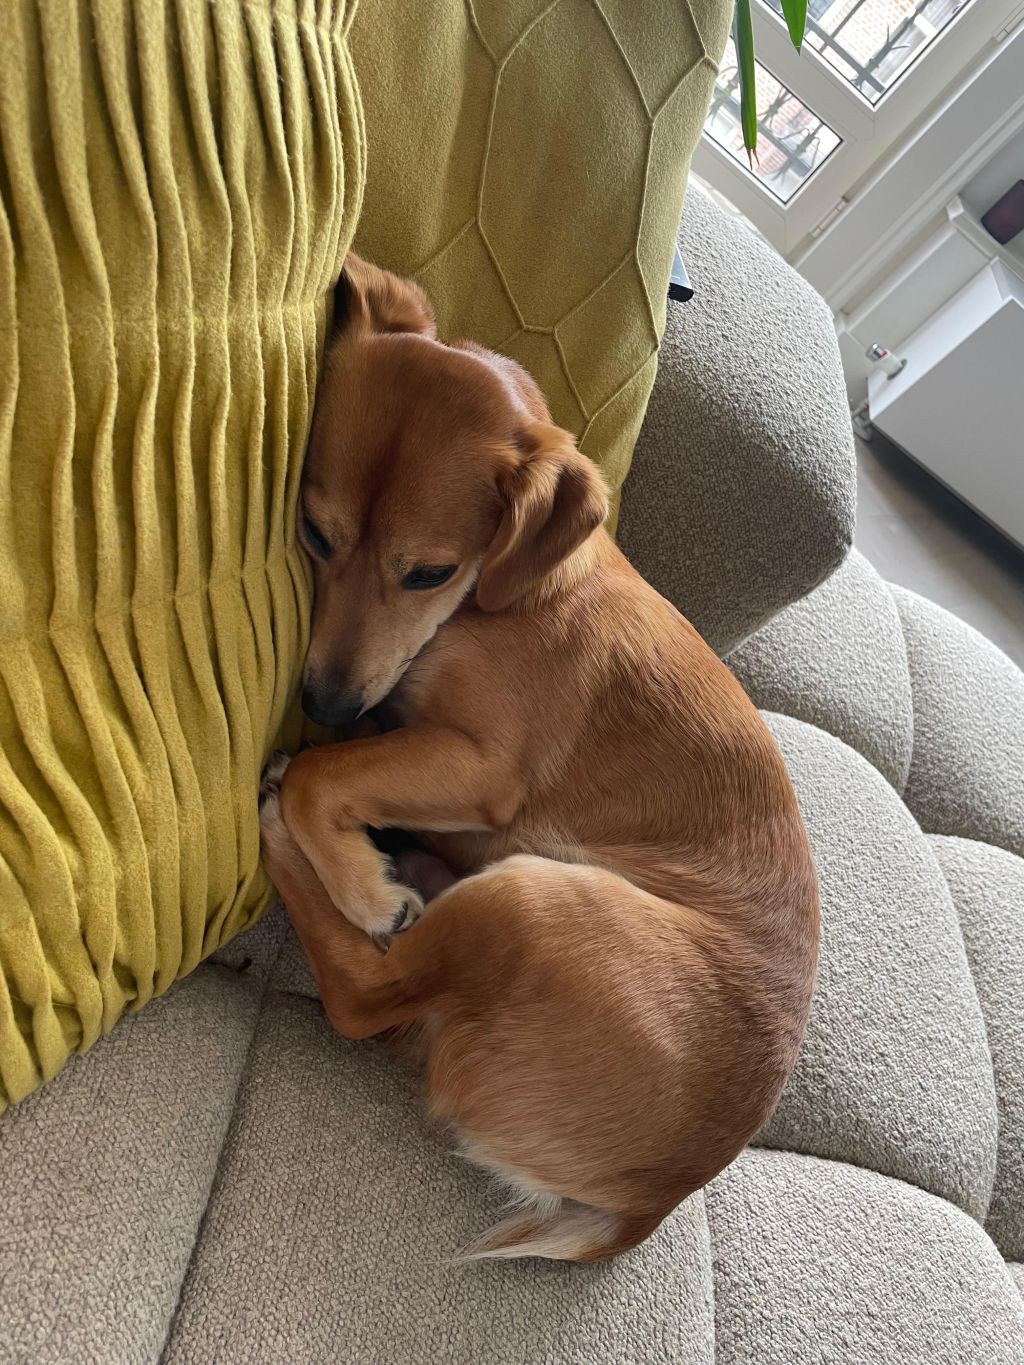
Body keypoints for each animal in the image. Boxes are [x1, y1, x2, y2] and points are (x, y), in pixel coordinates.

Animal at [258, 253, 819, 1263]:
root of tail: (643, 1207)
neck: (508, 594)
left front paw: (359, 881)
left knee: (364, 995)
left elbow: (328, 774)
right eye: (315, 536)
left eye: (428, 572)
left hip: (533, 901)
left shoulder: (482, 766)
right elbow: (347, 759)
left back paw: (318, 851)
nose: (321, 704)